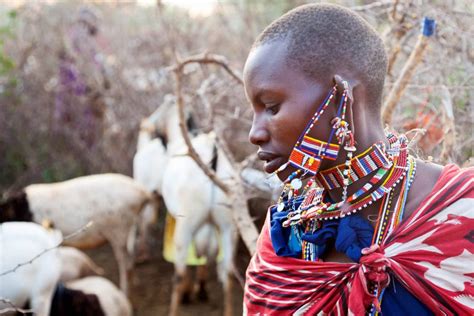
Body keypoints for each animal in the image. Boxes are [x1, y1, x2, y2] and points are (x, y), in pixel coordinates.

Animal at [0, 173, 156, 294]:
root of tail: (142, 193)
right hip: (130, 226)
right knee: (131, 252)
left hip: (118, 228)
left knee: (123, 260)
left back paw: (123, 290)